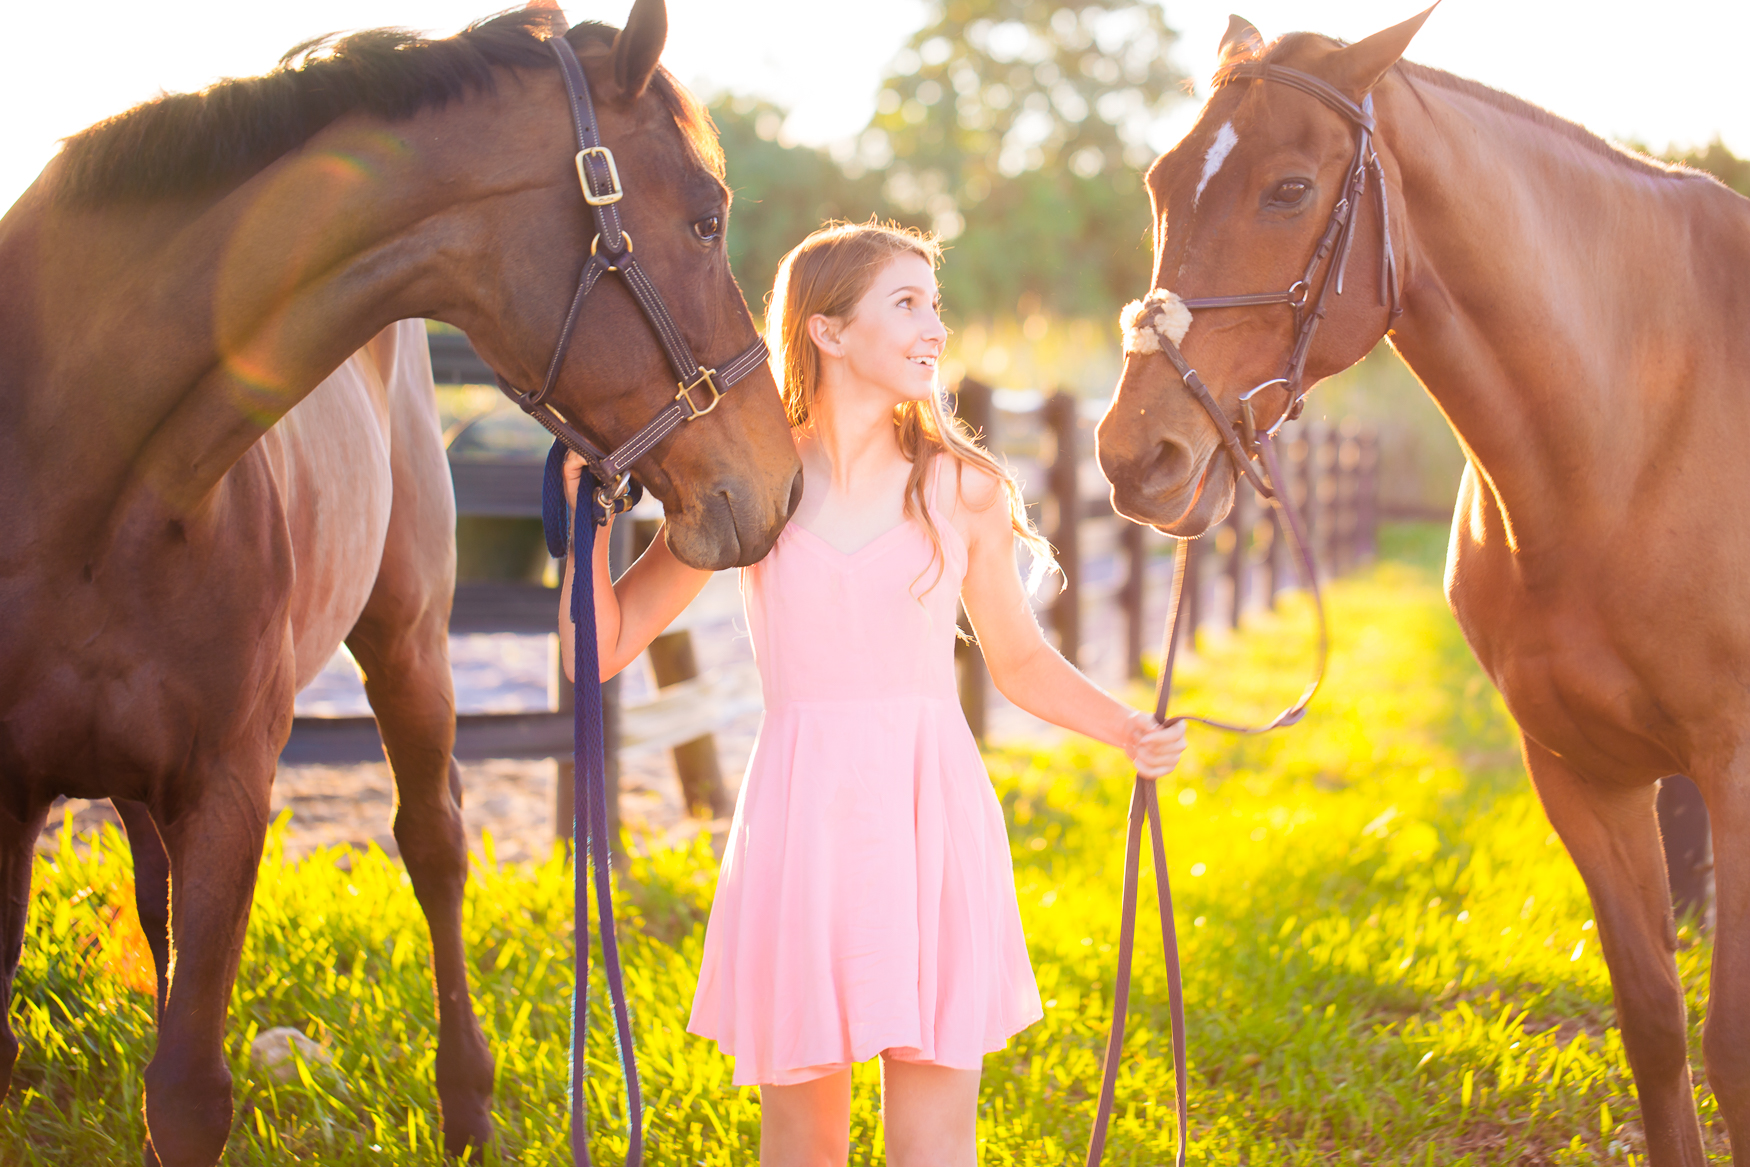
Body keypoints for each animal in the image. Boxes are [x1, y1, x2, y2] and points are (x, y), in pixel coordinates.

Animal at [0, 4, 801, 1161]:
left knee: (434, 843)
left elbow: (188, 1092)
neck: (79, 471)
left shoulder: (232, 790)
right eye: (705, 221)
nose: (780, 482)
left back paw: (467, 1104)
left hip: (409, 644)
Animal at [1099, 9, 1743, 1167]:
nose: (1136, 458)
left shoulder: (1737, 766)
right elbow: (1658, 1029)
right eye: (1161, 181)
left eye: (1289, 189)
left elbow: (1731, 1046)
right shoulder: (1582, 772)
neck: (1635, 431)